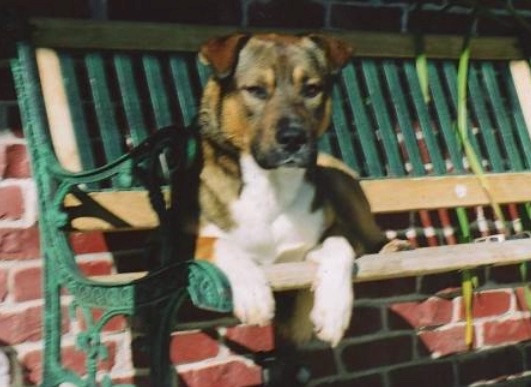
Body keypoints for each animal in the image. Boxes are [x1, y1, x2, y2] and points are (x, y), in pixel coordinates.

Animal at [189, 33, 410, 348]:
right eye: (255, 90)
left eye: (312, 89)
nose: (293, 138)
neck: (271, 185)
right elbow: (220, 244)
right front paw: (254, 295)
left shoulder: (334, 235)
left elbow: (340, 246)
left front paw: (331, 312)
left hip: (341, 180)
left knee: (371, 235)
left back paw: (393, 247)